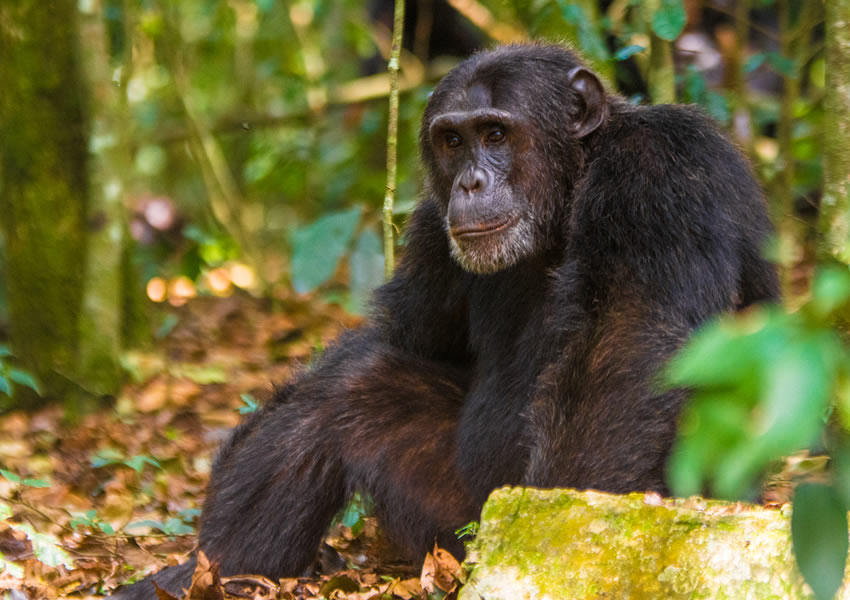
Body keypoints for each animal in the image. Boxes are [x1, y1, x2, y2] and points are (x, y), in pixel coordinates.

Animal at [111, 44, 776, 596]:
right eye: (452, 141)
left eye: (496, 133)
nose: (472, 181)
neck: (567, 191)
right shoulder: (433, 228)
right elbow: (407, 339)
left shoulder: (660, 171)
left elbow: (627, 341)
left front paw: (566, 555)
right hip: (451, 526)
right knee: (351, 385)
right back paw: (211, 572)